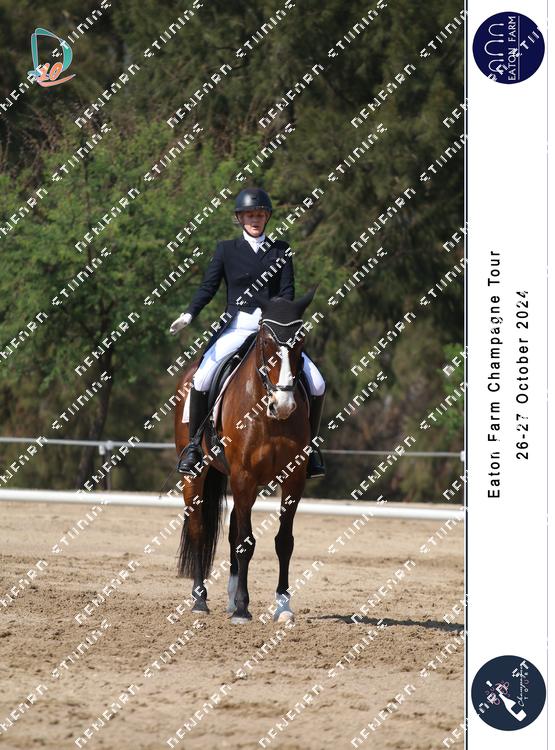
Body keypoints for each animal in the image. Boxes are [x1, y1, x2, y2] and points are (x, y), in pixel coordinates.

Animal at [173, 289, 317, 624]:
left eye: (301, 342)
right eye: (266, 343)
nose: (284, 405)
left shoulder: (293, 479)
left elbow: (283, 542)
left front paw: (283, 606)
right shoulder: (244, 477)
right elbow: (245, 543)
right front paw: (242, 608)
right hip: (197, 474)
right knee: (199, 528)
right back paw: (200, 600)